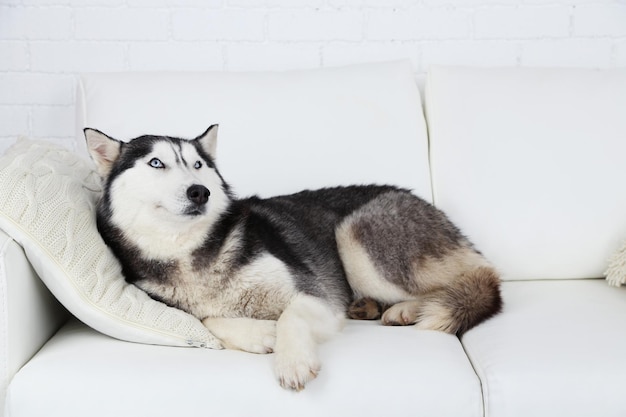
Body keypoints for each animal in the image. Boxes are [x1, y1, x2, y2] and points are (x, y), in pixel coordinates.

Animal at [84, 126, 502, 390]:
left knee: (474, 281)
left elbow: (290, 316)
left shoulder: (319, 295)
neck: (191, 251)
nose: (200, 191)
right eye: (156, 163)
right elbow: (207, 318)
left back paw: (406, 309)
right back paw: (370, 307)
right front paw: (259, 334)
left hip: (354, 235)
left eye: (198, 165)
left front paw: (291, 359)